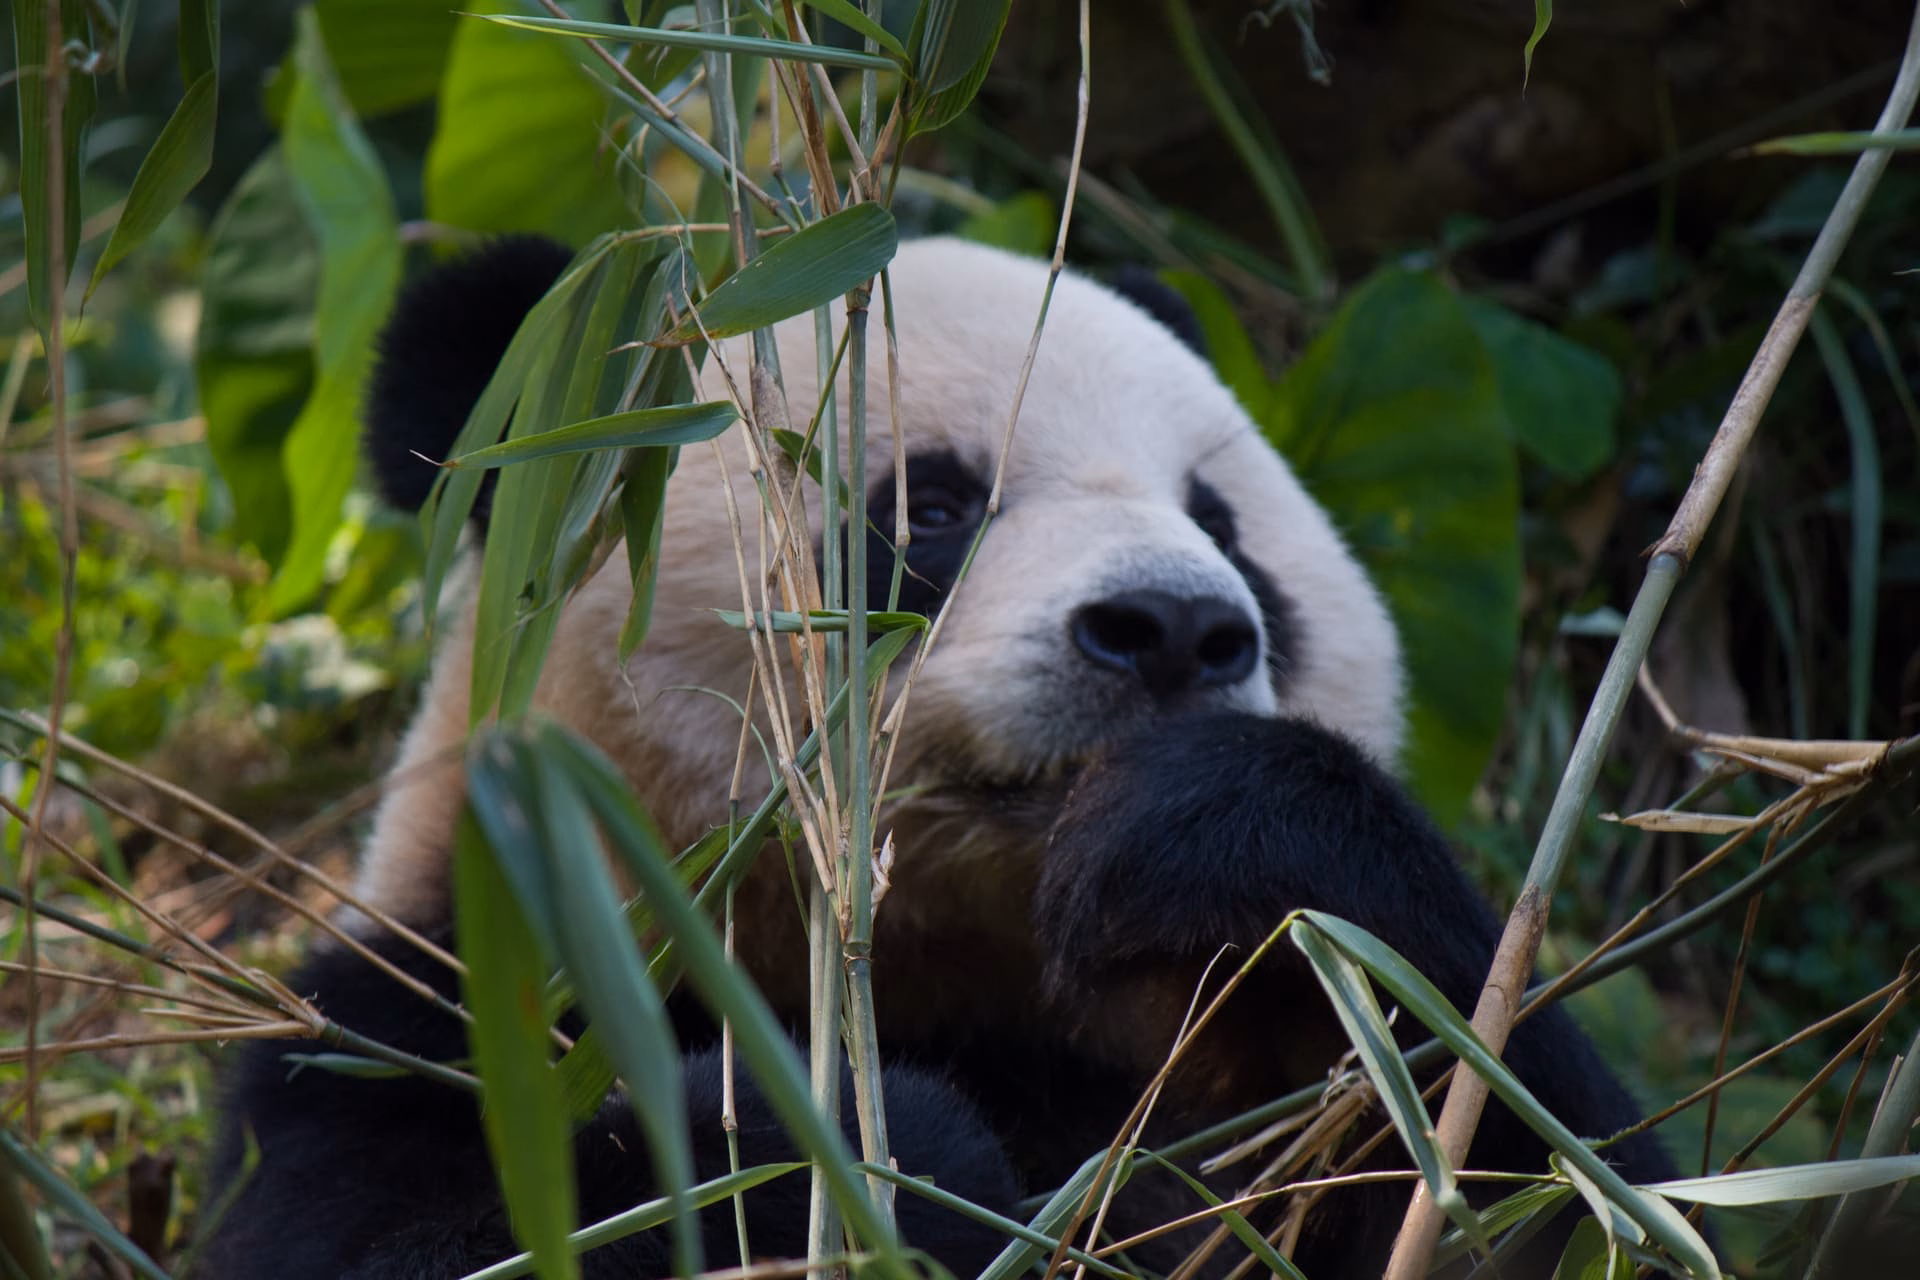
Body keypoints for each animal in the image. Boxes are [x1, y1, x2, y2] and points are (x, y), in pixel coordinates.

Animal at [197, 235, 1684, 1279]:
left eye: (1222, 524)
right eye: (932, 506)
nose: (1174, 631)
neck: (964, 973)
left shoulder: (1224, 1076)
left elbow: (1563, 1182)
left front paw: (1219, 830)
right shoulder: (421, 1024)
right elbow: (459, 1233)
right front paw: (850, 1154)